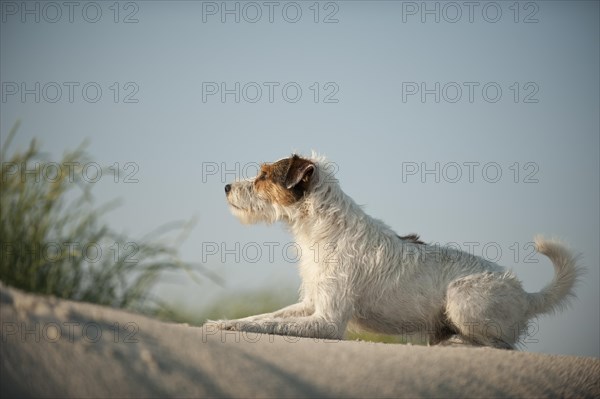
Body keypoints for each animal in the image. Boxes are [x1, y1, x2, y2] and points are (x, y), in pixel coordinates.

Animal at [211, 154, 580, 350]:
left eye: (263, 176)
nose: (226, 186)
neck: (322, 227)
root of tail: (526, 295)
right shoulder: (311, 304)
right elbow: (263, 318)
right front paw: (225, 322)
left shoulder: (327, 322)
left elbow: (273, 325)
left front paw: (230, 326)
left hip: (462, 298)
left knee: (498, 345)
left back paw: (455, 344)